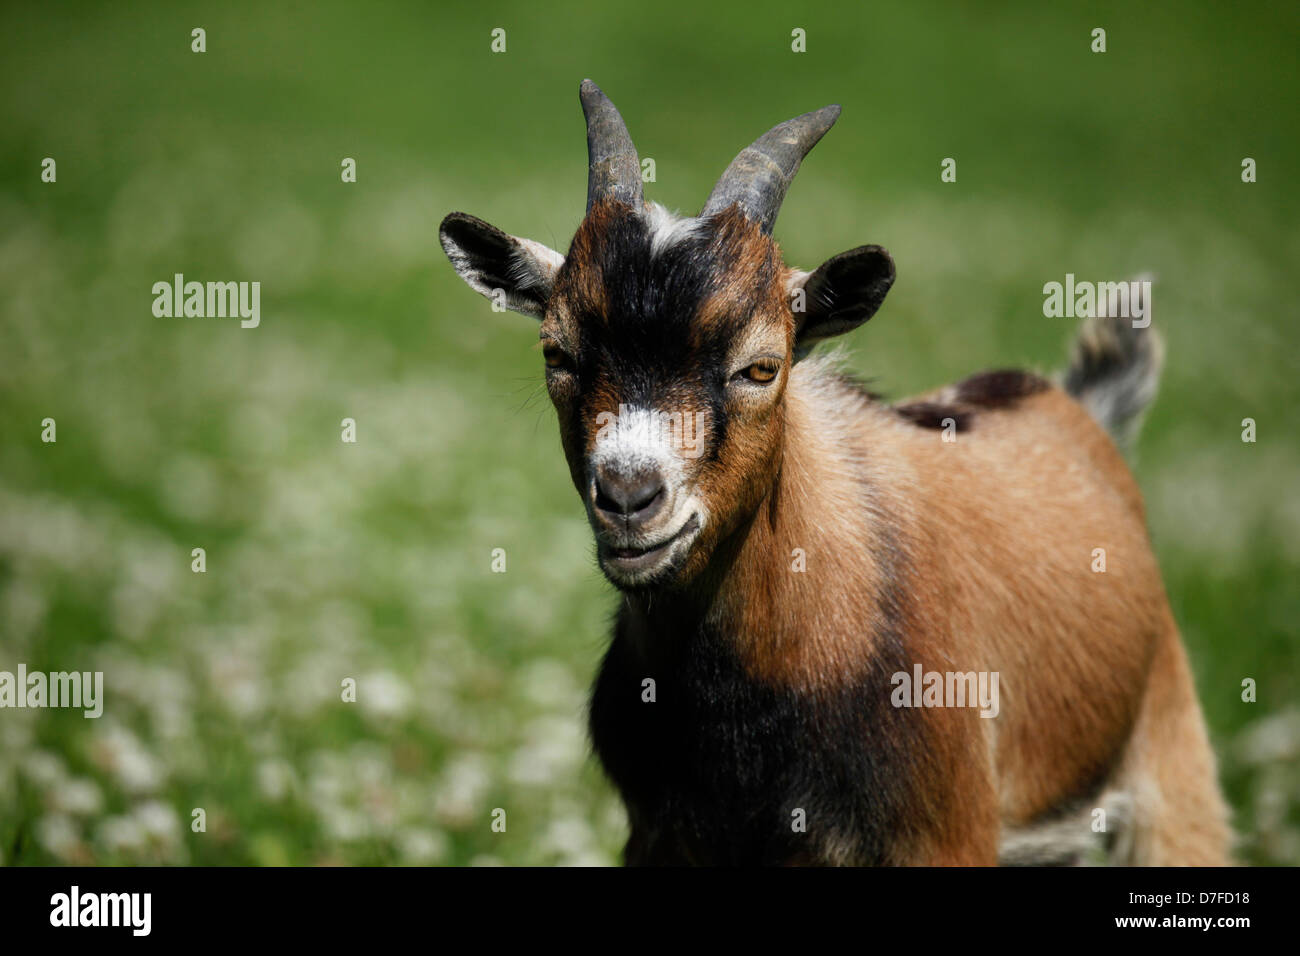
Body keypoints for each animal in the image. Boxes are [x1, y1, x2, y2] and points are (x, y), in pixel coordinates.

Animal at [439, 80, 1232, 866]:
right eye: (557, 353)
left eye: (763, 366)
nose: (630, 498)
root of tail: (1077, 409)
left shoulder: (946, 835)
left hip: (1173, 759)